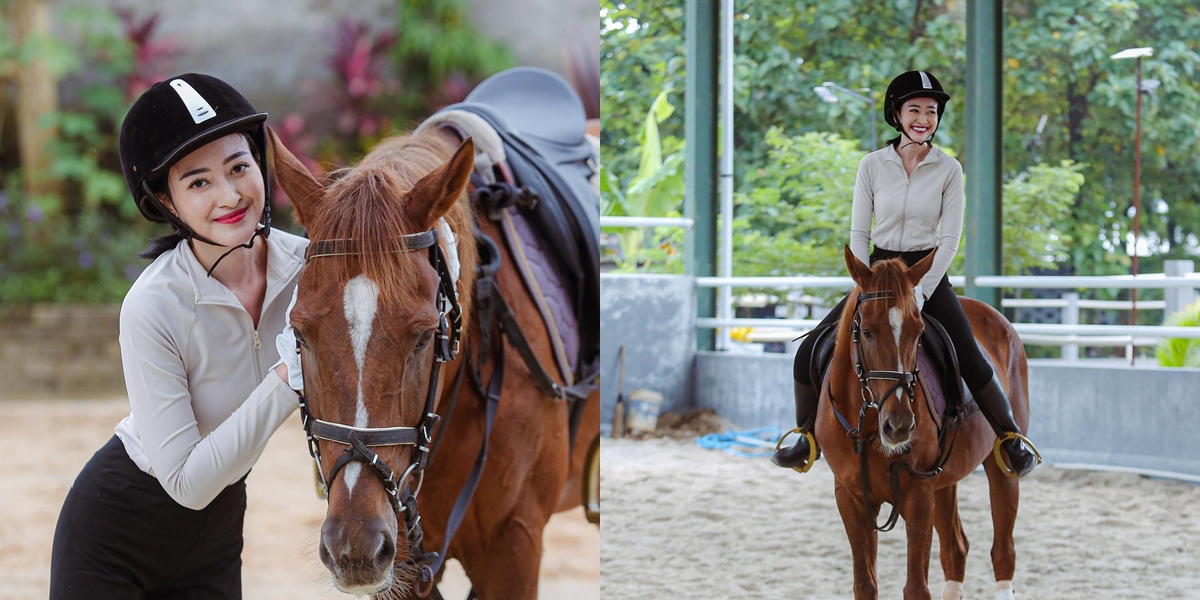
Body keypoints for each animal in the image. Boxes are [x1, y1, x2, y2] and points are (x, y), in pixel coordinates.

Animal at [816, 246, 1032, 597]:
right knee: (956, 551)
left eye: (918, 333)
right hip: (944, 481)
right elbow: (865, 585)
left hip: (1001, 467)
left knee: (1003, 553)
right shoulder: (851, 498)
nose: (899, 426)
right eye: (866, 331)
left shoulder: (919, 496)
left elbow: (916, 588)